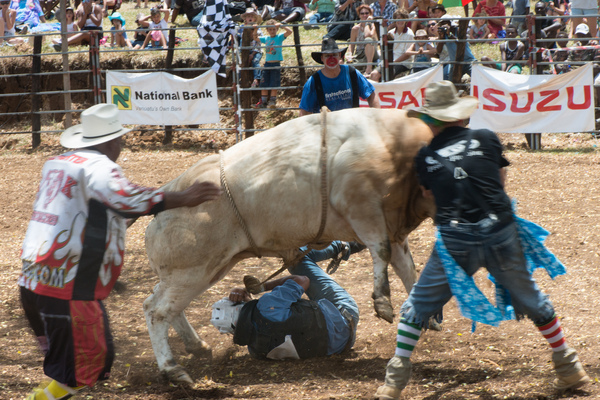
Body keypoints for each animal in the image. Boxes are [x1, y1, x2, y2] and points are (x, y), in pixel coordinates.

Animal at [143, 108, 434, 382]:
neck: (393, 143)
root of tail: (167, 197)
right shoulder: (364, 210)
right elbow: (381, 251)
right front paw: (383, 302)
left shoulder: (394, 228)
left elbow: (407, 269)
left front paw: (425, 314)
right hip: (192, 272)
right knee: (158, 311)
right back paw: (172, 368)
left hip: (206, 269)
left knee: (157, 302)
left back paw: (197, 345)